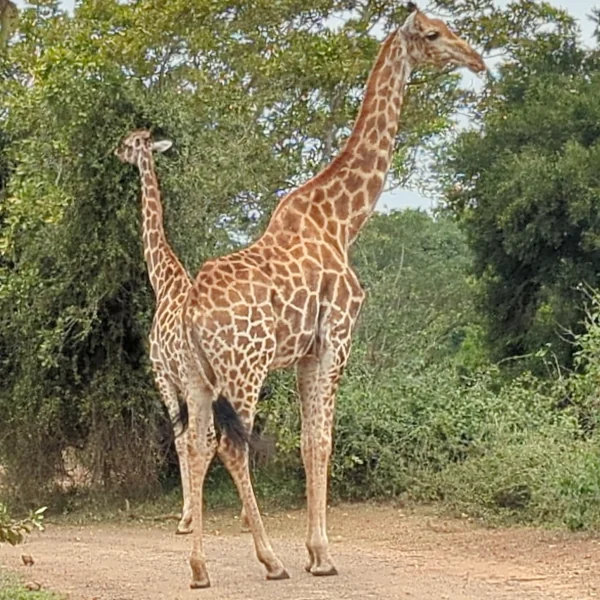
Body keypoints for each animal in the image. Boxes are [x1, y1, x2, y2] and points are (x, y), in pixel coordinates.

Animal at [179, 2, 488, 588]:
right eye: (433, 34)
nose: (478, 60)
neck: (342, 221)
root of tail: (189, 313)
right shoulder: (336, 340)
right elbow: (322, 441)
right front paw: (320, 555)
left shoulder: (303, 354)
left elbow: (306, 442)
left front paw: (312, 550)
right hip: (245, 368)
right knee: (231, 446)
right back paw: (270, 560)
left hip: (197, 378)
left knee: (196, 444)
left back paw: (200, 567)